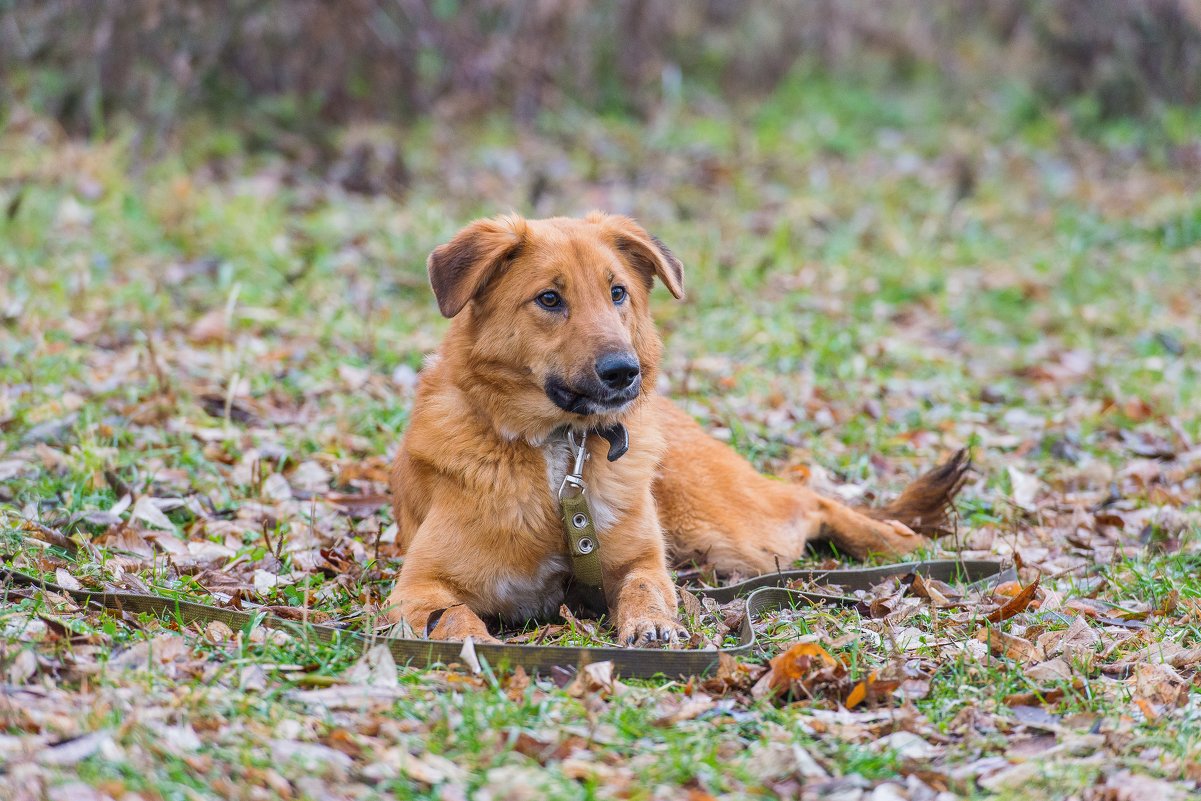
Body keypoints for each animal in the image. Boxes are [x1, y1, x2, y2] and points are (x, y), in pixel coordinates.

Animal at [384, 212, 965, 643]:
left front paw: (652, 625)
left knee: (806, 500)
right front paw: (470, 643)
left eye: (618, 293)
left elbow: (646, 587)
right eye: (549, 298)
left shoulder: (640, 561)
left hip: (726, 533)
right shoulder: (417, 587)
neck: (563, 450)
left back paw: (889, 539)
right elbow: (453, 616)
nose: (624, 372)